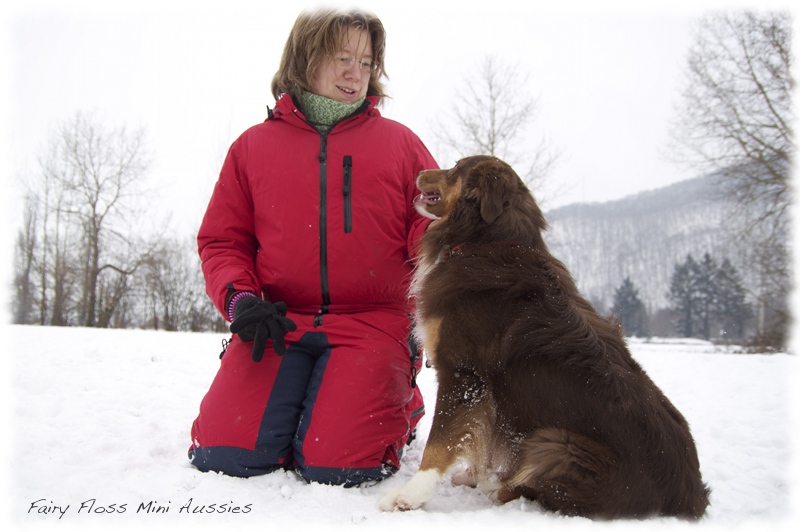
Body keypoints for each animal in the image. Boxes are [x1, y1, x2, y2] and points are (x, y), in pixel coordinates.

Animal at [382, 155, 712, 520]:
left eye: (455, 168)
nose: (418, 173)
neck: (484, 241)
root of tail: (691, 495)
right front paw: (466, 475)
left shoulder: (464, 374)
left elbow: (440, 442)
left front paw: (409, 496)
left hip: (555, 445)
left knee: (540, 491)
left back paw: (497, 485)